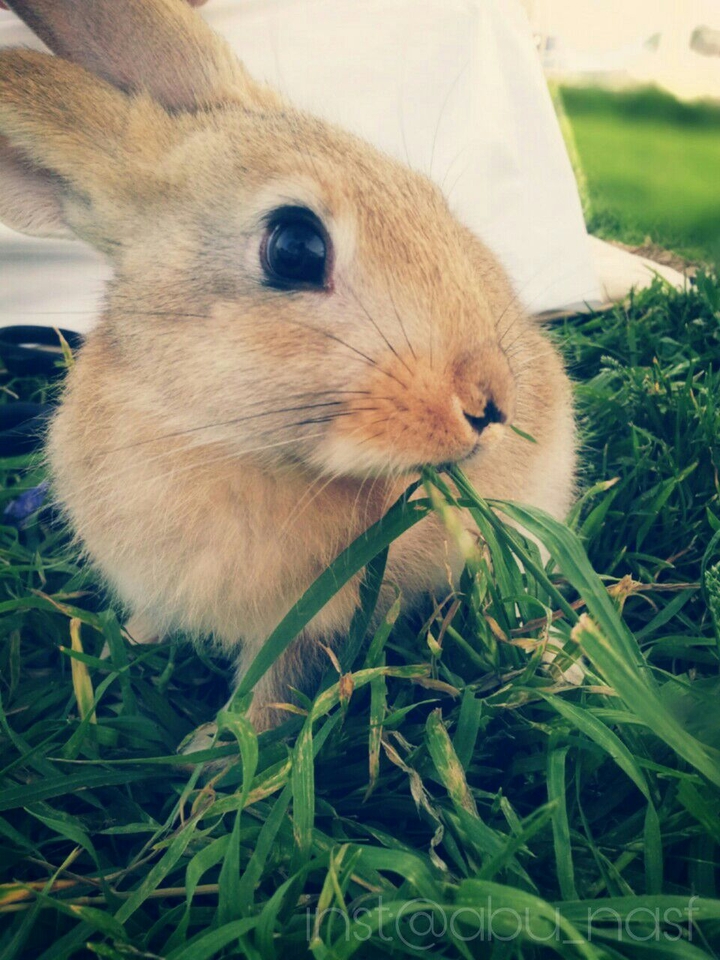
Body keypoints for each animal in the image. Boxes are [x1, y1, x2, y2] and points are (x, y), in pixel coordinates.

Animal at [0, 0, 575, 733]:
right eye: (295, 247)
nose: (491, 402)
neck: (206, 433)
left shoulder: (304, 625)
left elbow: (271, 688)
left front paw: (214, 753)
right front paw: (132, 641)